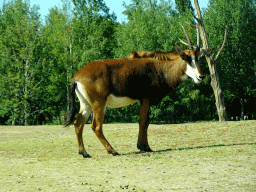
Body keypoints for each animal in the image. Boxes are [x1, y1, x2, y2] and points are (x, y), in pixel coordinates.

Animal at [65, 23, 205, 158]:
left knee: (78, 124)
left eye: (198, 58)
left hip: (86, 104)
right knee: (96, 126)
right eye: (187, 58)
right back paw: (112, 151)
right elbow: (143, 122)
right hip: (99, 103)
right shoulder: (145, 99)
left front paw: (145, 146)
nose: (201, 76)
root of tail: (77, 77)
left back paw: (84, 152)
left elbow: (146, 122)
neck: (160, 68)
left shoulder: (144, 101)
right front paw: (144, 147)